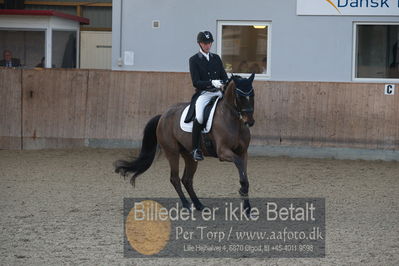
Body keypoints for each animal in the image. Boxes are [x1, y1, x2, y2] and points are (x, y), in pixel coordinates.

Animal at [114, 73, 256, 214]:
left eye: (253, 94)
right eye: (239, 96)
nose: (249, 121)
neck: (233, 121)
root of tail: (163, 116)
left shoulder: (243, 152)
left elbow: (243, 170)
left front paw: (247, 207)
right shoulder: (223, 152)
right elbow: (239, 163)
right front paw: (242, 190)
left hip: (189, 155)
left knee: (187, 180)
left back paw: (199, 205)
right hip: (172, 152)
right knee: (175, 178)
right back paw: (187, 205)